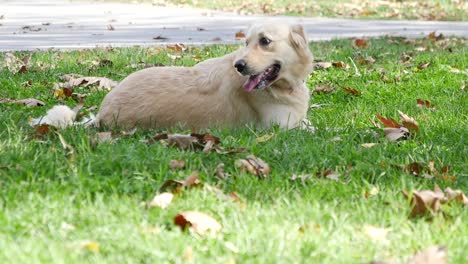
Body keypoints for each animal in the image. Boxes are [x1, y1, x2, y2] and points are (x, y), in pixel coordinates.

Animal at [96, 22, 312, 129]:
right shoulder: (281, 126)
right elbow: (314, 128)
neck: (282, 88)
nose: (238, 66)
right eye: (246, 42)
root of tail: (100, 114)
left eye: (265, 41)